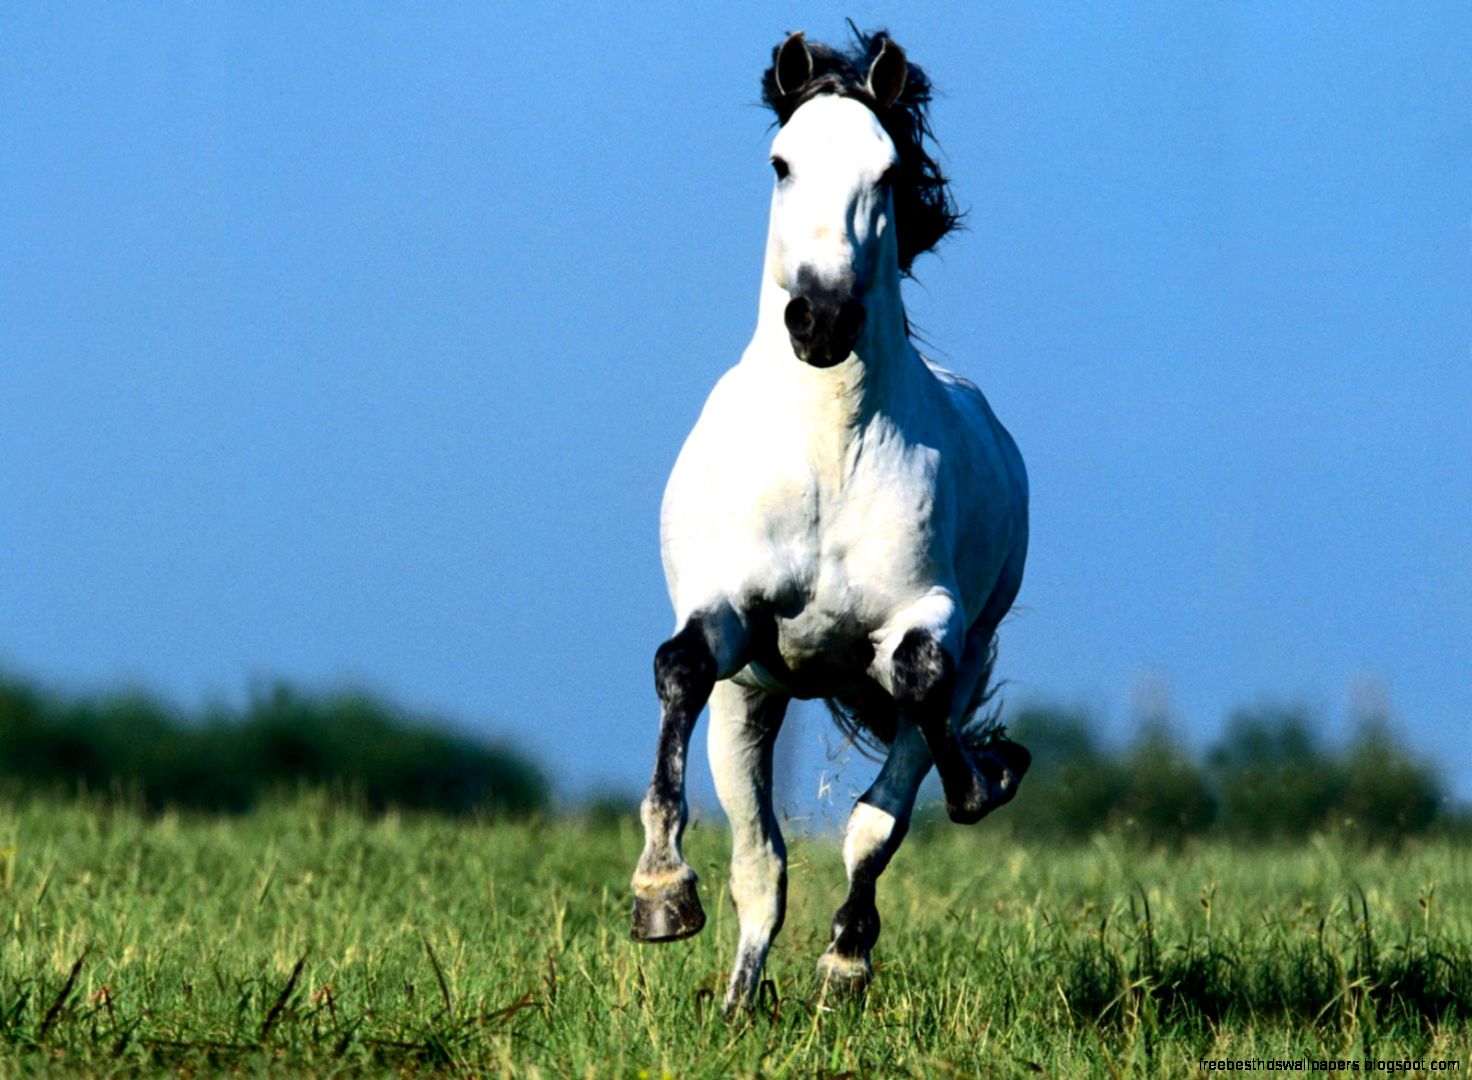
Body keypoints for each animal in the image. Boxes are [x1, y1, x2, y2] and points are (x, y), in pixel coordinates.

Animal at [629, 27, 1032, 1011]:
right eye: (782, 163)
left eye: (886, 171)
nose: (821, 318)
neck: (827, 451)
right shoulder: (727, 615)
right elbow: (677, 666)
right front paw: (659, 893)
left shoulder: (930, 620)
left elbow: (915, 705)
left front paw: (986, 780)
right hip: (752, 703)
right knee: (759, 862)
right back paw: (738, 1002)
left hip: (970, 647)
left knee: (883, 799)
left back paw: (842, 963)